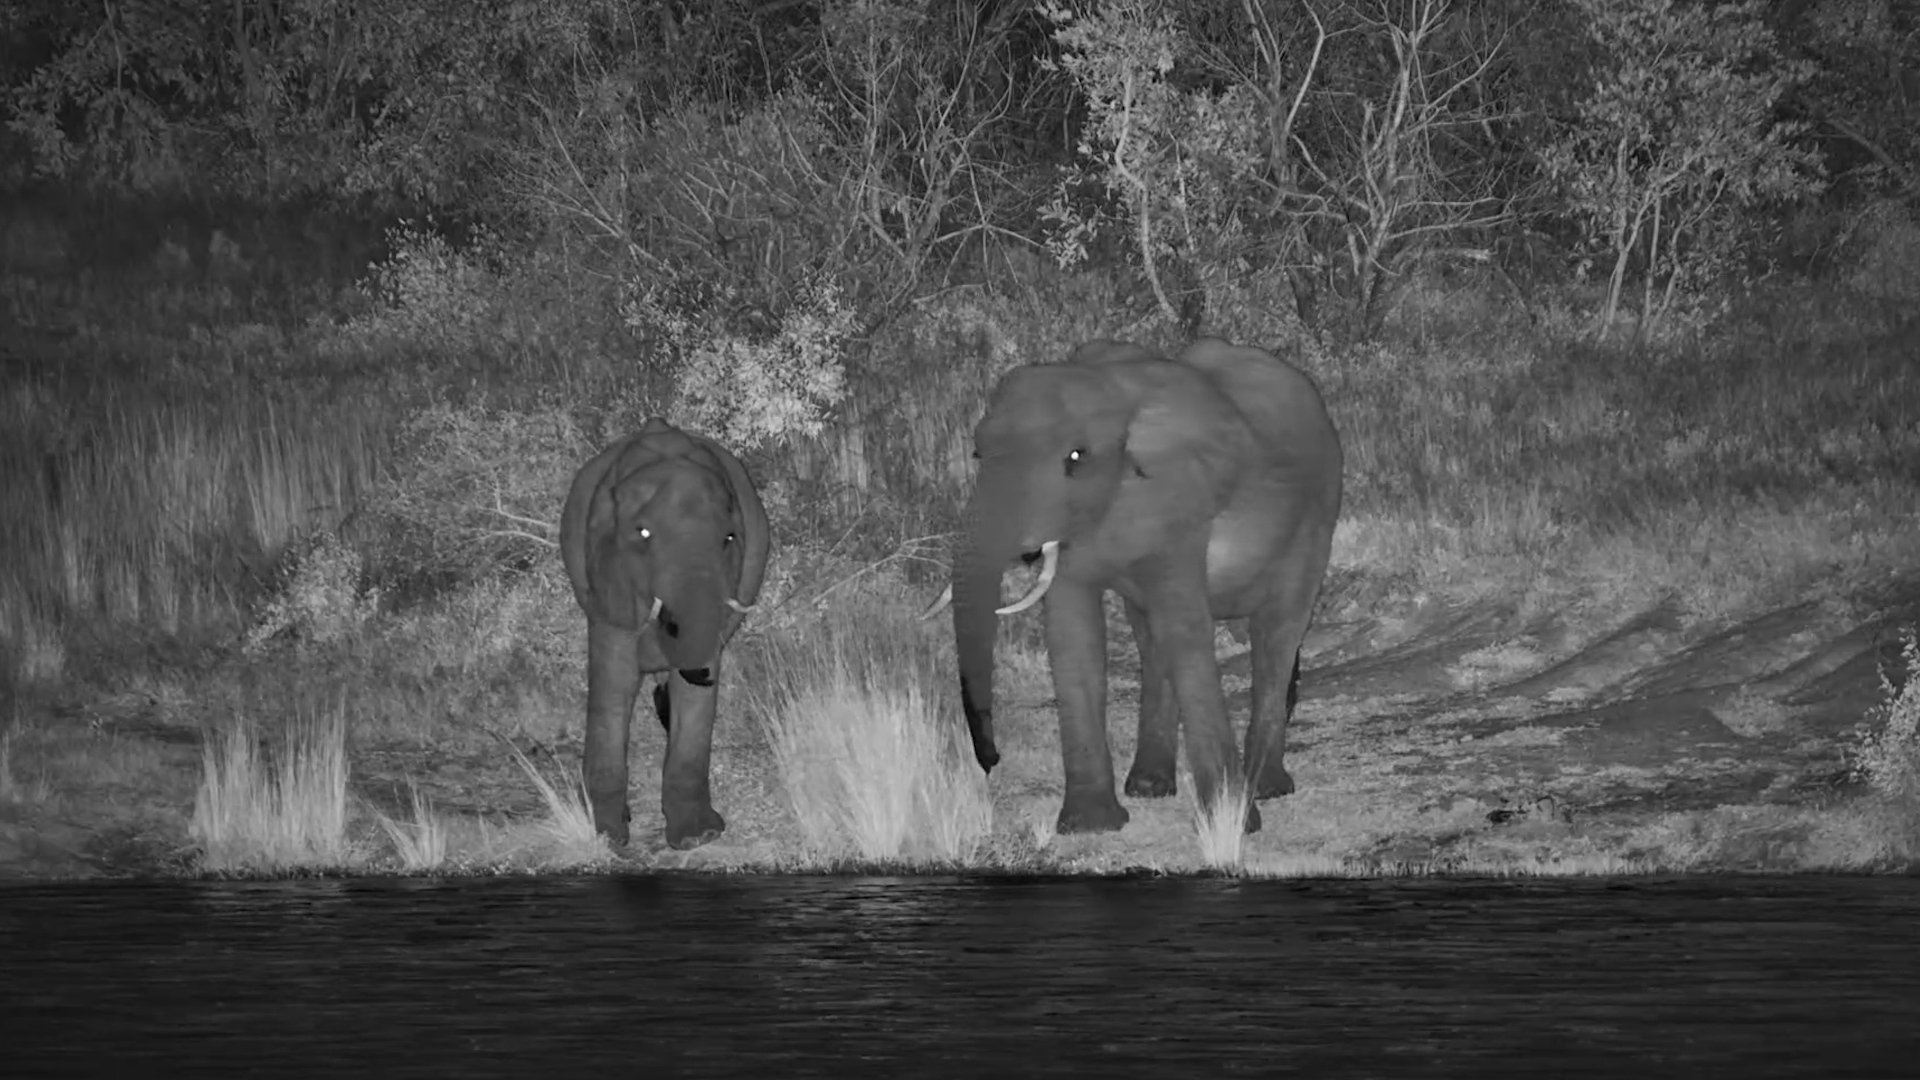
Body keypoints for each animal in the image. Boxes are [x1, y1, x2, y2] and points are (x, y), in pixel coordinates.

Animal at [559, 417, 770, 850]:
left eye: (729, 538)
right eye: (642, 534)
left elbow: (695, 697)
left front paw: (697, 838)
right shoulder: (607, 580)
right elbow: (614, 680)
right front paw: (605, 835)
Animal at [927, 337, 1343, 836]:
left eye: (1076, 459)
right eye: (977, 456)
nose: (991, 760)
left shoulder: (1180, 506)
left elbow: (1185, 631)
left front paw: (1233, 824)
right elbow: (1072, 636)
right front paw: (1091, 826)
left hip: (1318, 513)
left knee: (1276, 633)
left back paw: (1266, 787)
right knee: (1152, 636)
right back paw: (1149, 787)